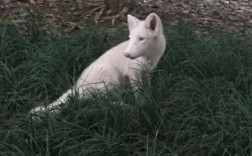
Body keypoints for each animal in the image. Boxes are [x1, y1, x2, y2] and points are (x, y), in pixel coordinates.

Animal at [29, 12, 166, 118]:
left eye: (141, 39)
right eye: (130, 38)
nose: (126, 54)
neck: (148, 58)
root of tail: (79, 85)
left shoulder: (147, 72)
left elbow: (147, 87)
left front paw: (150, 98)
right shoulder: (133, 74)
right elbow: (138, 93)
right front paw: (142, 105)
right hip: (111, 78)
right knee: (99, 101)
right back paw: (124, 106)